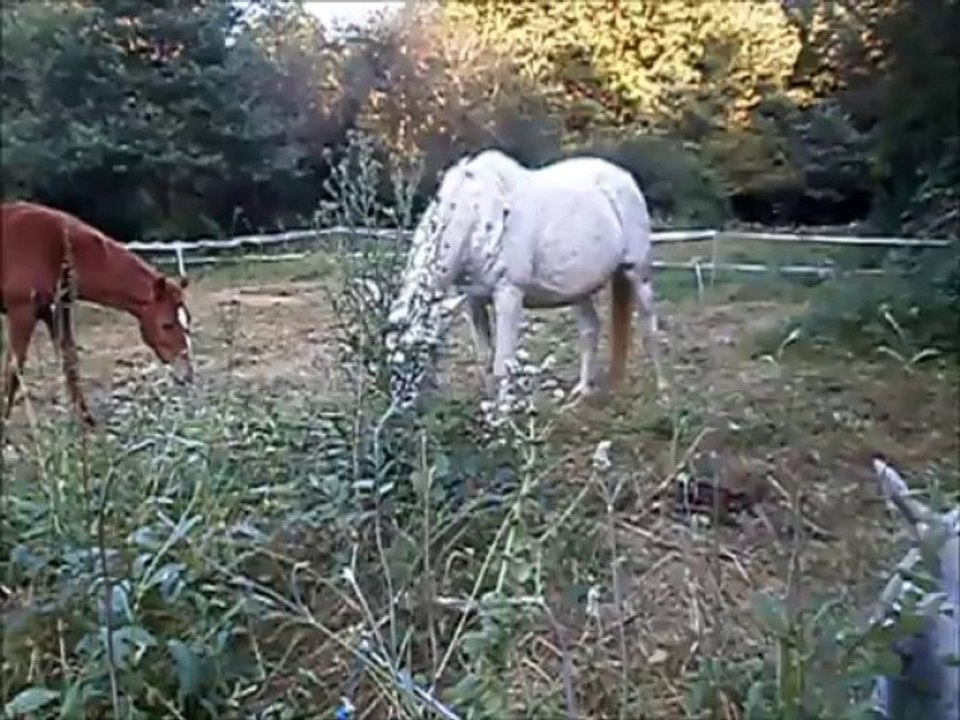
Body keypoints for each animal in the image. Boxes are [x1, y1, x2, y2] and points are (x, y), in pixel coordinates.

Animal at [1, 201, 194, 427]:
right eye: (166, 324)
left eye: (187, 321)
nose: (187, 374)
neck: (55, 244)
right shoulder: (21, 312)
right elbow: (14, 371)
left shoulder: (57, 310)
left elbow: (70, 362)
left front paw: (86, 420)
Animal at [387, 149, 665, 405]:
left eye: (419, 350)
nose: (395, 411)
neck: (478, 215)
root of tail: (623, 177)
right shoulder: (474, 301)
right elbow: (485, 357)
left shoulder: (508, 294)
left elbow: (502, 361)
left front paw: (502, 415)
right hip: (579, 289)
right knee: (590, 329)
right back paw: (582, 392)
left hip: (637, 273)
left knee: (649, 327)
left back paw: (662, 392)